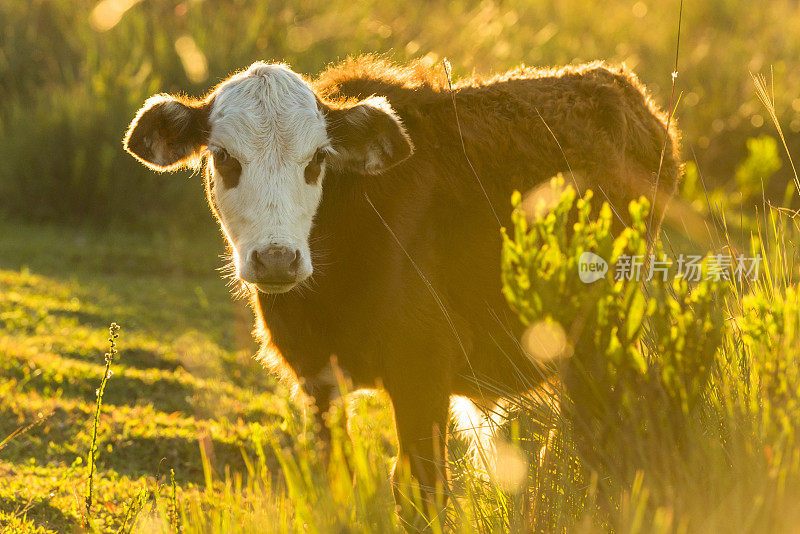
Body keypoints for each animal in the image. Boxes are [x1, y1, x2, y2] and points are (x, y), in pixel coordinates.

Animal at [125, 55, 680, 510]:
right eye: (223, 157)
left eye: (318, 159)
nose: (277, 260)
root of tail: (619, 87)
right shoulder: (317, 378)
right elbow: (339, 480)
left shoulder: (422, 370)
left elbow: (419, 490)